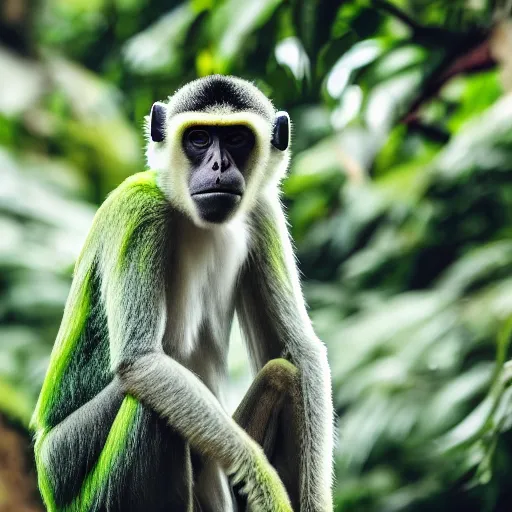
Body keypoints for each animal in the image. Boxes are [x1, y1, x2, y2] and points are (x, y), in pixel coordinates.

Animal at [32, 73, 336, 512]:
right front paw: (262, 480)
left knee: (282, 373)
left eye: (237, 139)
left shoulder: (261, 208)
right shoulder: (140, 210)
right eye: (198, 138)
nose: (219, 165)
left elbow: (298, 348)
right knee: (148, 406)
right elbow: (141, 362)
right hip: (70, 472)